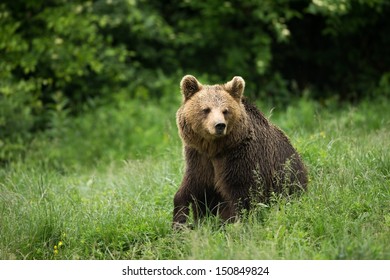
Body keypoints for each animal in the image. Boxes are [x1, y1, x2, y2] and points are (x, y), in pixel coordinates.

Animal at [173, 75, 308, 229]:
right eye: (206, 109)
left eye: (225, 110)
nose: (219, 125)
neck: (215, 148)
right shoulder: (198, 157)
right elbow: (193, 186)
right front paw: (180, 221)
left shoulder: (240, 157)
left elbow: (242, 194)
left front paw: (232, 223)